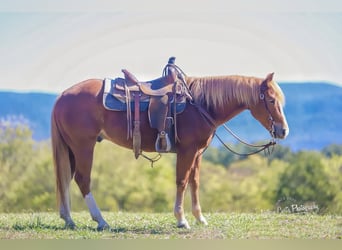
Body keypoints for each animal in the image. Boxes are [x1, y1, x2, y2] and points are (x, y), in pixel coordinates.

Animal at [50, 71, 288, 229]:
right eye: (271, 100)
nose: (283, 130)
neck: (200, 104)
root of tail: (62, 96)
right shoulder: (187, 151)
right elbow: (182, 181)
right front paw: (181, 220)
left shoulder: (198, 153)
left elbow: (195, 182)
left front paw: (199, 217)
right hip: (83, 146)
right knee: (82, 179)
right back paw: (100, 220)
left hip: (72, 148)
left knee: (66, 178)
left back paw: (68, 219)